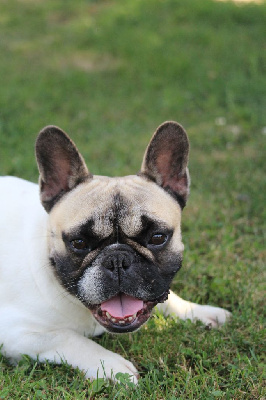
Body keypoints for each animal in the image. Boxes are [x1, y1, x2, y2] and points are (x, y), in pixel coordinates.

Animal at [0, 121, 231, 382]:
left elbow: (169, 298)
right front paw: (111, 366)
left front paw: (198, 311)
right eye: (79, 242)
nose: (117, 259)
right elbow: (67, 337)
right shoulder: (15, 332)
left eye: (157, 238)